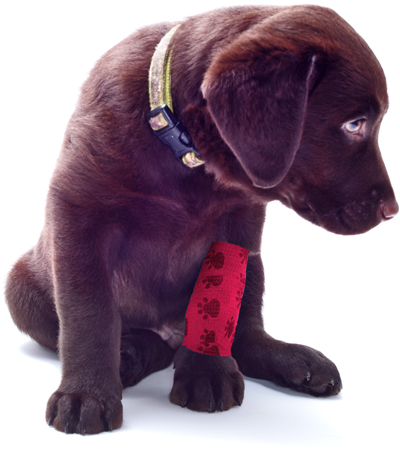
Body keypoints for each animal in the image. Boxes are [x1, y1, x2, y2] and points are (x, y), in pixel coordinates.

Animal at [6, 5, 396, 432]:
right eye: (354, 124)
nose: (392, 209)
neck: (181, 151)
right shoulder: (78, 214)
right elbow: (89, 313)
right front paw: (86, 395)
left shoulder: (238, 225)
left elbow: (218, 299)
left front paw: (207, 371)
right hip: (19, 288)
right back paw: (131, 354)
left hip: (255, 264)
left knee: (246, 332)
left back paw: (292, 360)